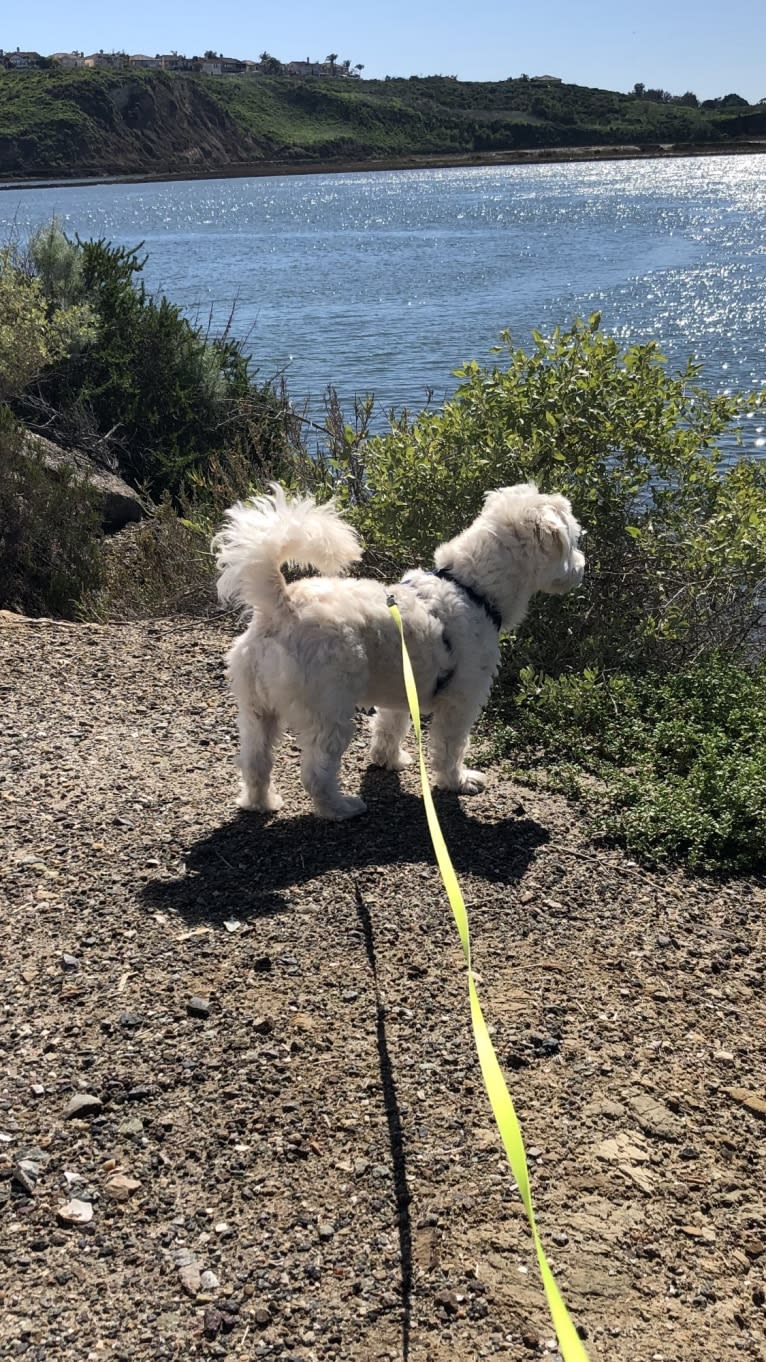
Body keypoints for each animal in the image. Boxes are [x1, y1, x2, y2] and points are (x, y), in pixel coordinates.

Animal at [211, 482, 580, 817]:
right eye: (574, 540)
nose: (582, 565)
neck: (472, 588)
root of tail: (281, 607)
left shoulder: (403, 688)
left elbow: (389, 728)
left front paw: (388, 760)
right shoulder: (461, 700)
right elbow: (450, 747)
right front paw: (458, 781)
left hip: (257, 711)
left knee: (255, 763)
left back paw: (260, 803)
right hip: (328, 713)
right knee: (316, 774)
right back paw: (340, 808)